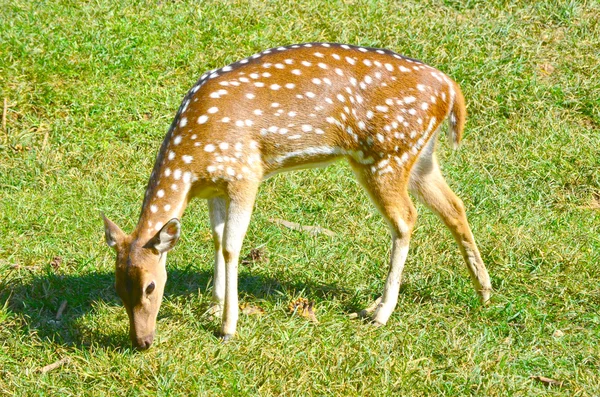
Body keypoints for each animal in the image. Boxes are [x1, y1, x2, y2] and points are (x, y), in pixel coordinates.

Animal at [102, 41, 492, 348]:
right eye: (118, 288)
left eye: (150, 286)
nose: (142, 341)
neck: (190, 166)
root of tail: (451, 90)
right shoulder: (216, 187)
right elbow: (215, 237)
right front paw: (214, 304)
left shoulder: (245, 173)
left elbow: (231, 245)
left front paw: (228, 325)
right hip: (420, 156)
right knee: (454, 205)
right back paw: (484, 290)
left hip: (384, 156)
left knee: (406, 219)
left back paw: (380, 311)